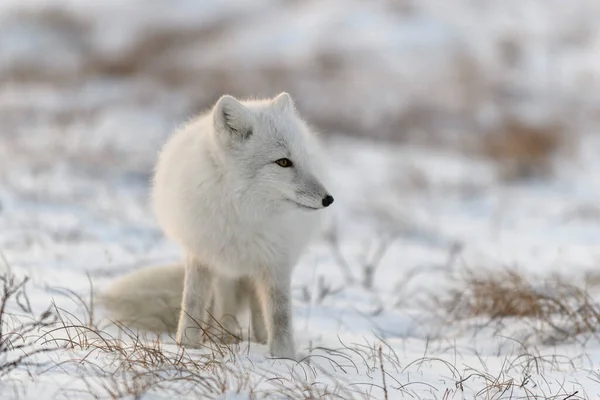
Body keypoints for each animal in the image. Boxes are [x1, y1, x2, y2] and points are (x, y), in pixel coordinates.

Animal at [126, 92, 332, 358]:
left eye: (304, 159)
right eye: (283, 162)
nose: (328, 199)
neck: (243, 212)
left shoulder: (276, 262)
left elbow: (280, 315)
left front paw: (284, 356)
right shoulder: (201, 252)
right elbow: (192, 302)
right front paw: (187, 345)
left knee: (257, 306)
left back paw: (257, 338)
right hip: (225, 265)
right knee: (225, 301)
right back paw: (226, 336)